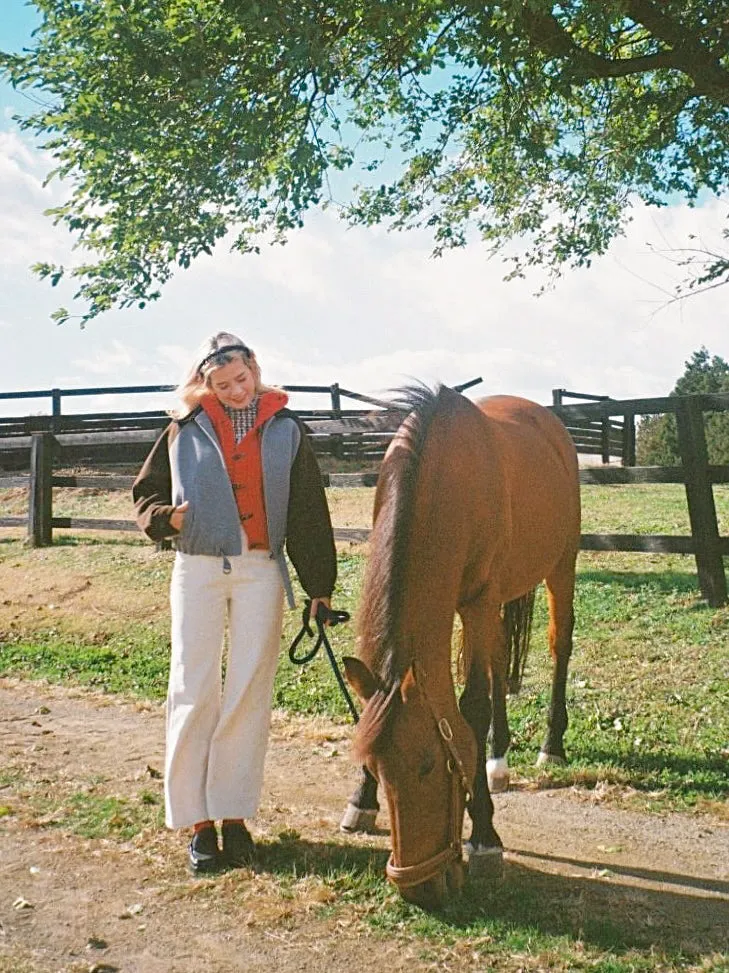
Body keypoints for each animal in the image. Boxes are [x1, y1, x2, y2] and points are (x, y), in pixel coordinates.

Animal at [340, 384, 580, 908]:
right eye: (377, 768)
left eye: (429, 766)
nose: (419, 888)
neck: (442, 475)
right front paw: (361, 801)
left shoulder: (477, 602)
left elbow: (471, 708)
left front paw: (485, 838)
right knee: (498, 661)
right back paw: (498, 760)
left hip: (560, 565)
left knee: (560, 645)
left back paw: (550, 745)